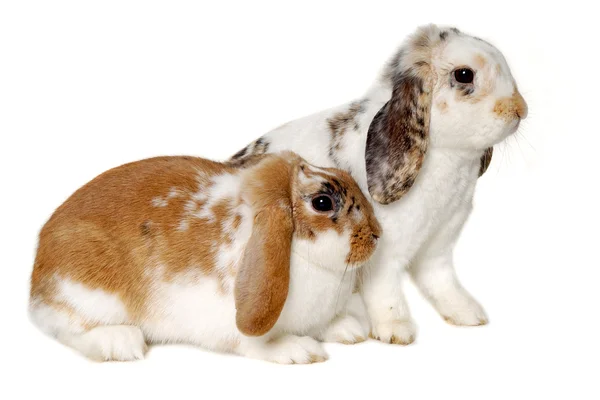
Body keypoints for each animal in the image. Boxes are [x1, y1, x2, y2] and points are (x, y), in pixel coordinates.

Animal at [28, 152, 380, 364]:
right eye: (322, 202)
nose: (377, 234)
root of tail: (36, 279)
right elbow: (258, 344)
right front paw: (300, 351)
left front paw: (349, 330)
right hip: (86, 293)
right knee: (67, 328)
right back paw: (122, 342)